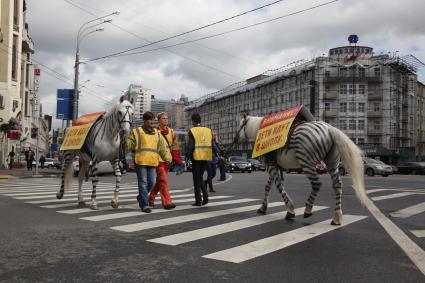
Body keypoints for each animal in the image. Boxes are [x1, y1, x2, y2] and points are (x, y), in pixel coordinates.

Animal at [237, 116, 366, 226]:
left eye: (240, 125)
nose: (236, 139)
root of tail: (330, 129)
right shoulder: (274, 166)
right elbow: (268, 186)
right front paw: (263, 208)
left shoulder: (270, 166)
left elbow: (278, 186)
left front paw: (290, 211)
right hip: (332, 164)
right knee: (337, 185)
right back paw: (337, 218)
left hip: (307, 162)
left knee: (317, 184)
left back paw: (308, 210)